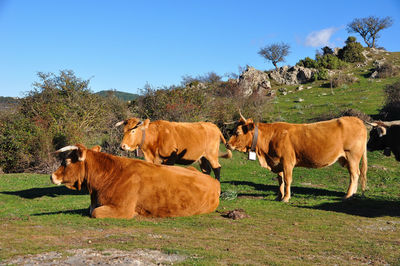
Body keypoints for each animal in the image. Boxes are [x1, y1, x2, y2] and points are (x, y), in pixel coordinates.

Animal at [227, 113, 368, 203]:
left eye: (237, 132)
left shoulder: (287, 161)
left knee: (354, 175)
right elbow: (280, 181)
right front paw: (279, 196)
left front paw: (286, 198)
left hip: (352, 156)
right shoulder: (277, 163)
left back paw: (347, 196)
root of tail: (357, 120)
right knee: (356, 174)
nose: (227, 144)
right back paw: (353, 194)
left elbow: (287, 180)